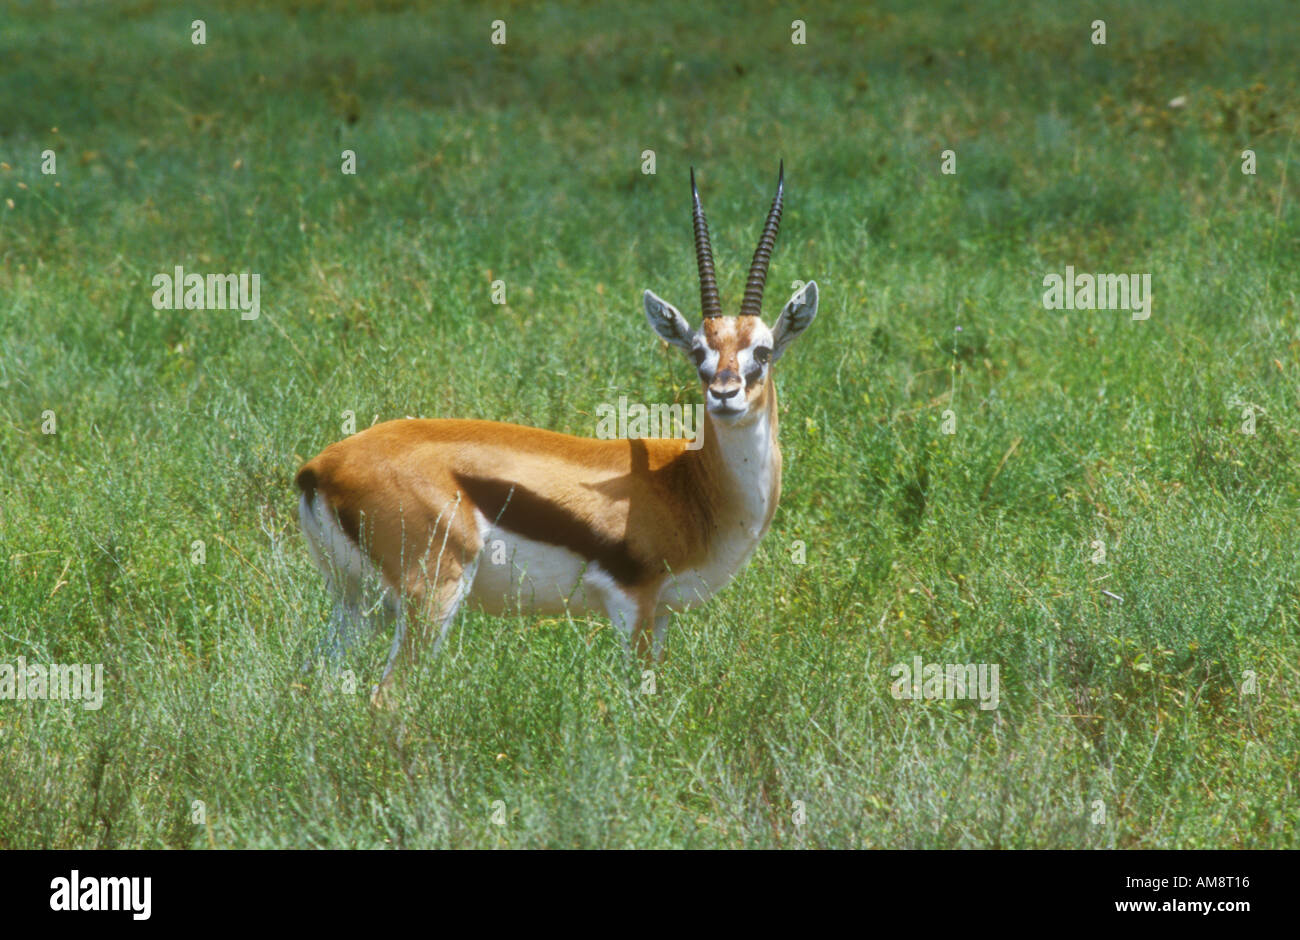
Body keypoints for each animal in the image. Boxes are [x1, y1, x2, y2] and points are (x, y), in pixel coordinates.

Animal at [295, 164, 819, 702]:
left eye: (762, 350)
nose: (724, 394)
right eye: (697, 352)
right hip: (430, 596)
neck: (691, 484)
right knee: (387, 698)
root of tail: (320, 468)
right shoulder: (634, 603)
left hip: (357, 607)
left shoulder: (663, 614)